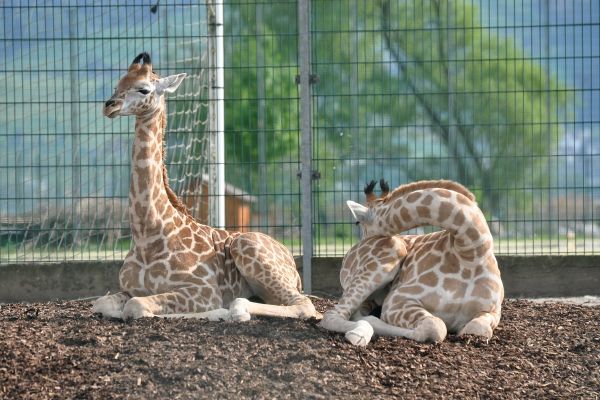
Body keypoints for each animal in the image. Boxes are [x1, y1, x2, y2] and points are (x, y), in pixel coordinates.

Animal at [92, 53, 318, 322]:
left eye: (143, 88)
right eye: (118, 84)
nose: (109, 105)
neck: (148, 234)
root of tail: (292, 262)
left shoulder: (204, 290)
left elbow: (136, 306)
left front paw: (215, 312)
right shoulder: (128, 288)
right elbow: (100, 303)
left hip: (251, 250)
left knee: (305, 305)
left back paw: (235, 311)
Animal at [322, 178, 504, 344]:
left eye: (357, 222)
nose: (364, 242)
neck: (471, 251)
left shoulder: (493, 311)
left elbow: (478, 329)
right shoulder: (396, 301)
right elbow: (435, 326)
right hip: (391, 252)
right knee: (332, 315)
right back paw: (359, 334)